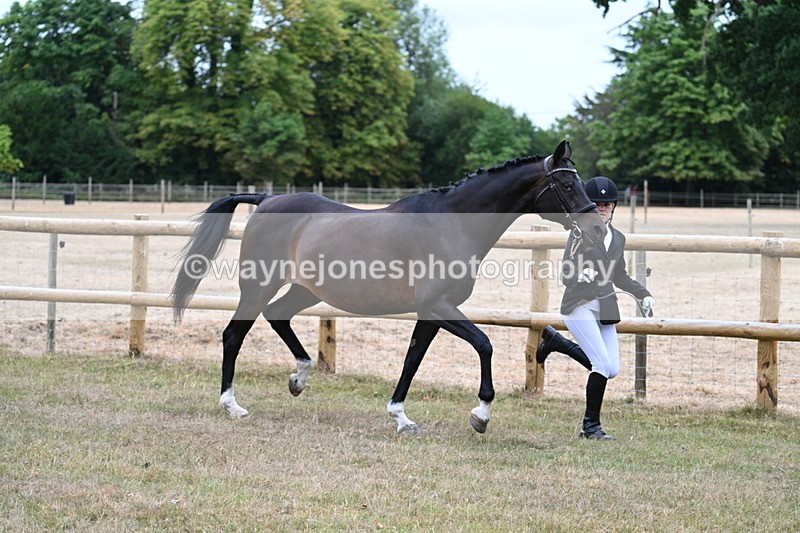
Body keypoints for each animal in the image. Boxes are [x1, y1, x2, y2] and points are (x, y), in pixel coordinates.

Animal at [172, 140, 605, 435]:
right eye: (567, 187)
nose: (598, 229)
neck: (451, 223)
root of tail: (266, 200)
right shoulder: (439, 306)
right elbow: (484, 344)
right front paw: (480, 415)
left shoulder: (432, 312)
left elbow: (412, 359)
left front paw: (401, 416)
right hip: (259, 285)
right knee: (233, 335)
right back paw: (232, 405)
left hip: (307, 289)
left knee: (278, 317)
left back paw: (299, 378)